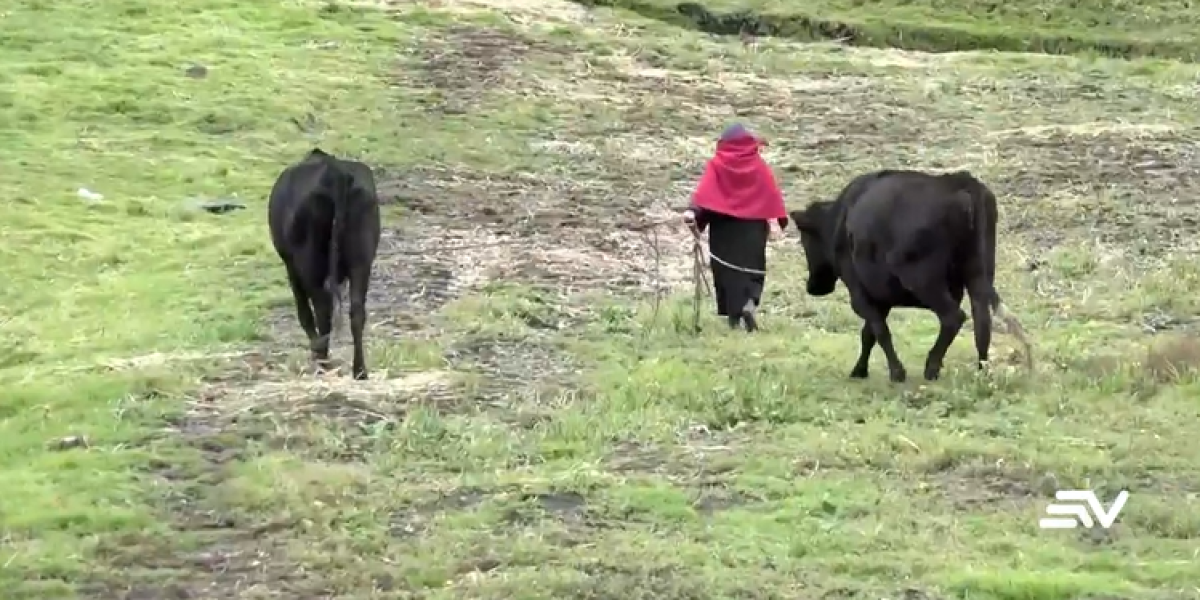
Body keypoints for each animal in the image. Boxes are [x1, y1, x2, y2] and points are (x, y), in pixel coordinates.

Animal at [267, 146, 379, 379]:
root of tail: (334, 172)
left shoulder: (290, 265)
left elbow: (304, 312)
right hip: (361, 261)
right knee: (356, 311)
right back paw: (359, 371)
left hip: (309, 262)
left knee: (321, 307)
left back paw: (322, 361)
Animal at [787, 169, 1022, 384]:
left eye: (805, 240)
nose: (813, 287)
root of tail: (960, 180)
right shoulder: (880, 297)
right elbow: (868, 333)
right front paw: (860, 370)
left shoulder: (859, 292)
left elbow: (879, 331)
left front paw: (896, 372)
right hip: (979, 273)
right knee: (982, 320)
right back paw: (983, 371)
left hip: (922, 279)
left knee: (953, 317)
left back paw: (932, 367)